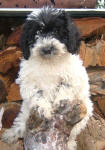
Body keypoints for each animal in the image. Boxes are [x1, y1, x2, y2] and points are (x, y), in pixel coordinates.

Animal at [2, 7, 92, 150]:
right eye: (37, 33)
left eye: (56, 31)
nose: (47, 48)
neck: (49, 62)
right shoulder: (29, 81)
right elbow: (38, 95)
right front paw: (44, 109)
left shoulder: (72, 76)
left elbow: (65, 88)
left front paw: (61, 102)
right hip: (26, 109)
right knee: (22, 121)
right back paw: (13, 133)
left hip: (86, 109)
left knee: (72, 133)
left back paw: (70, 143)